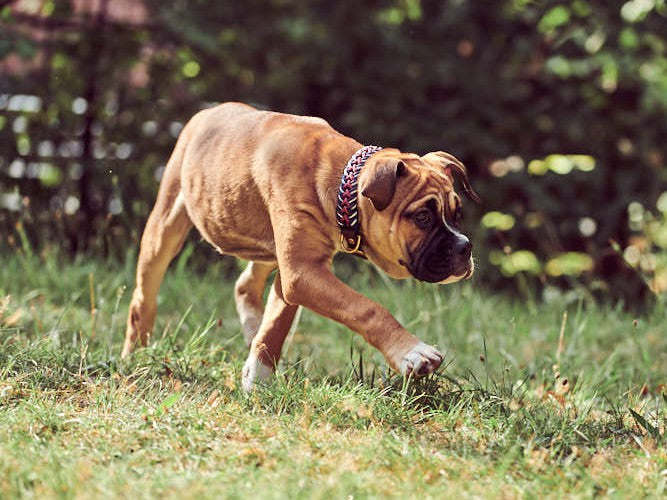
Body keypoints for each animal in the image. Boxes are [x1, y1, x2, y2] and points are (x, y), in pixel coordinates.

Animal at [122, 102, 478, 390]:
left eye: (458, 214)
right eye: (422, 217)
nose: (465, 247)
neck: (340, 180)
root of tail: (207, 112)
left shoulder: (296, 272)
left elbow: (277, 322)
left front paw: (259, 376)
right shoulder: (302, 273)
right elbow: (366, 308)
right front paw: (412, 352)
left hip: (268, 248)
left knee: (245, 283)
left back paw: (251, 329)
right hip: (165, 226)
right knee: (143, 298)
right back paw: (134, 355)